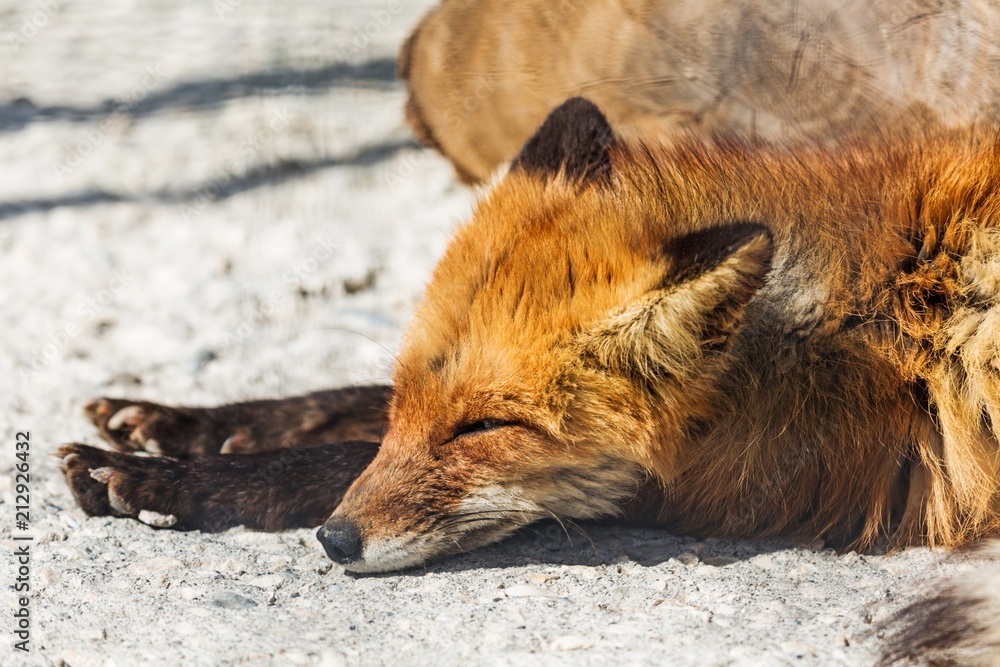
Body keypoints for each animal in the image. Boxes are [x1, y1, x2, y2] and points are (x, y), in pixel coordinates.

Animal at [60, 99, 1000, 664]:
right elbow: (341, 408)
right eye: (411, 402)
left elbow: (327, 458)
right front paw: (174, 421)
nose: (335, 542)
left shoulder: (728, 486)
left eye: (483, 430)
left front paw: (175, 480)